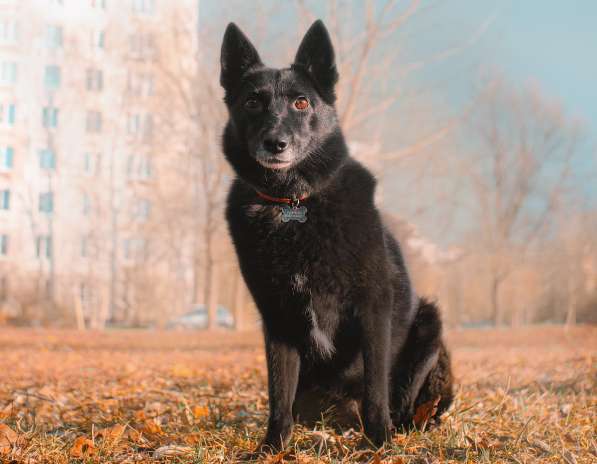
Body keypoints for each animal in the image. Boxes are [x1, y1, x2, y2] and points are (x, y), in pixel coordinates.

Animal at [220, 20, 452, 454]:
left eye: (300, 103)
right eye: (253, 103)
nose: (275, 143)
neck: (293, 203)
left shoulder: (373, 307)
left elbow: (376, 388)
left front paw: (379, 444)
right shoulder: (277, 317)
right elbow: (279, 394)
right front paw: (272, 448)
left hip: (429, 326)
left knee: (402, 400)